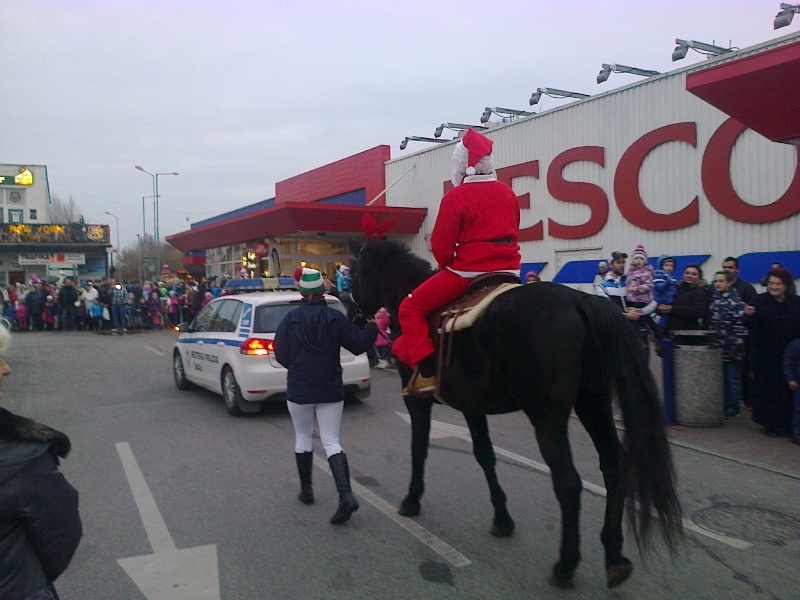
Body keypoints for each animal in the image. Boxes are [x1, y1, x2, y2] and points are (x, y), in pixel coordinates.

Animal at [348, 238, 680, 584]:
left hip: (548, 417)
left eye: (354, 273)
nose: (352, 314)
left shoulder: (416, 401)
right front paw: (502, 518)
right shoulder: (472, 406)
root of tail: (579, 300)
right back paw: (614, 554)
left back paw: (566, 565)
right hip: (594, 405)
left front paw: (411, 500)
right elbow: (485, 456)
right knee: (614, 465)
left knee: (568, 482)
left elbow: (419, 448)